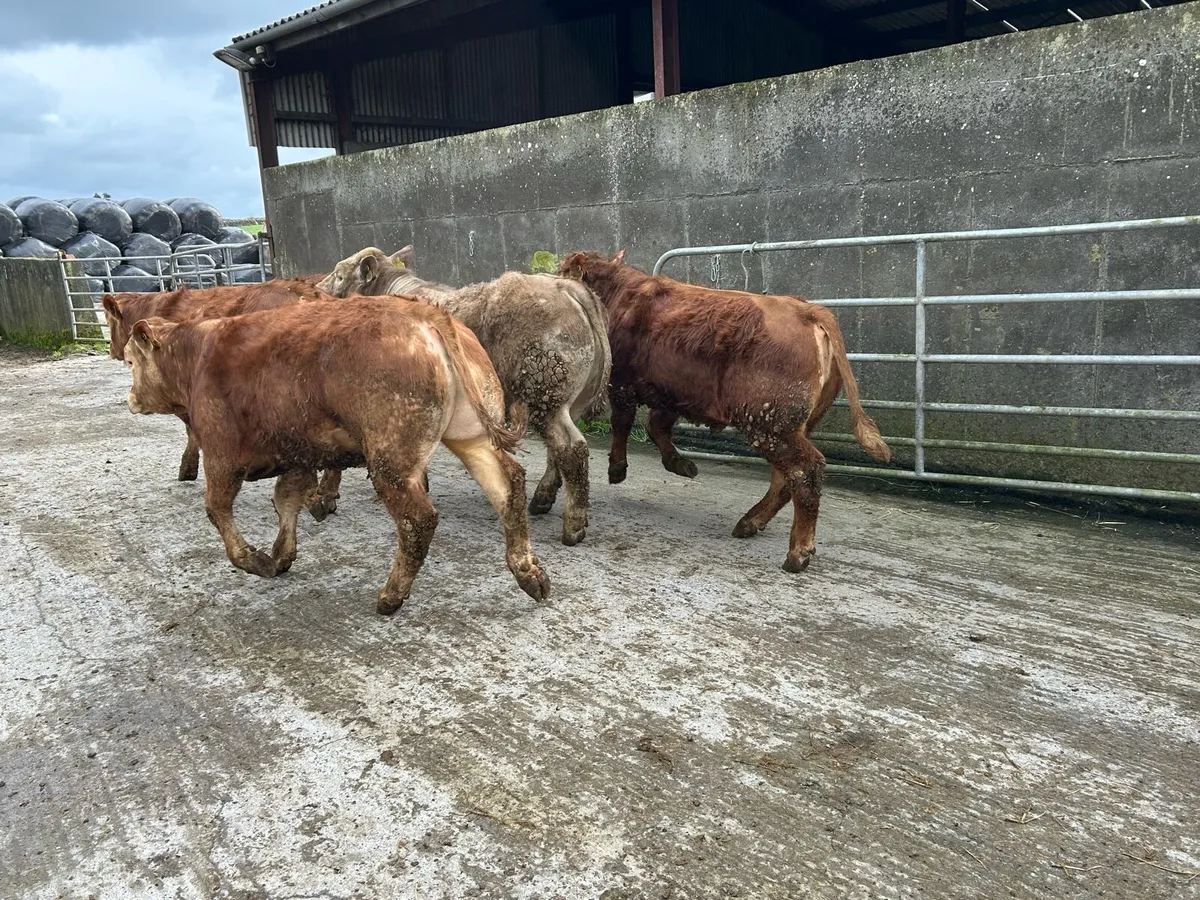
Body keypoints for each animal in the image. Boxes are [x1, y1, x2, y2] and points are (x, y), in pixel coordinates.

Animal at [121, 297, 551, 615]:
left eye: (129, 360)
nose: (130, 398)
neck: (197, 356)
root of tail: (426, 315)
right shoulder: (298, 454)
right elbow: (286, 500)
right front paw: (280, 556)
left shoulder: (221, 453)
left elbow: (217, 509)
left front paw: (255, 560)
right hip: (472, 436)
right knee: (508, 486)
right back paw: (529, 573)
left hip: (392, 462)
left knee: (418, 520)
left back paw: (391, 596)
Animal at [318, 246, 612, 547]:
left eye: (340, 275)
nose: (318, 289)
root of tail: (566, 286)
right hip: (564, 402)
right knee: (558, 450)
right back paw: (543, 499)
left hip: (543, 394)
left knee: (571, 448)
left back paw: (573, 527)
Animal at [558, 250, 892, 574]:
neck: (619, 292)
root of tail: (807, 310)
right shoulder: (672, 393)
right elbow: (656, 427)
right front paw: (680, 464)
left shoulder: (623, 383)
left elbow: (623, 421)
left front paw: (617, 468)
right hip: (788, 428)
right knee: (784, 479)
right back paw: (750, 523)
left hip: (772, 426)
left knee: (805, 471)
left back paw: (797, 553)